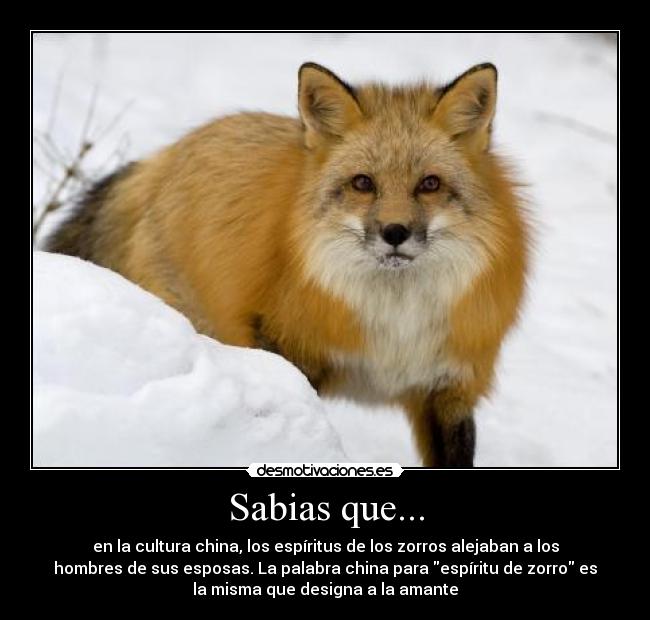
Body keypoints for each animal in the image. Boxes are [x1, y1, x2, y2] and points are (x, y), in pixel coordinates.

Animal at [45, 62, 529, 467]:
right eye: (363, 183)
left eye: (429, 184)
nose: (395, 232)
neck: (396, 322)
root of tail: (168, 154)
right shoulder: (289, 349)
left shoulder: (448, 388)